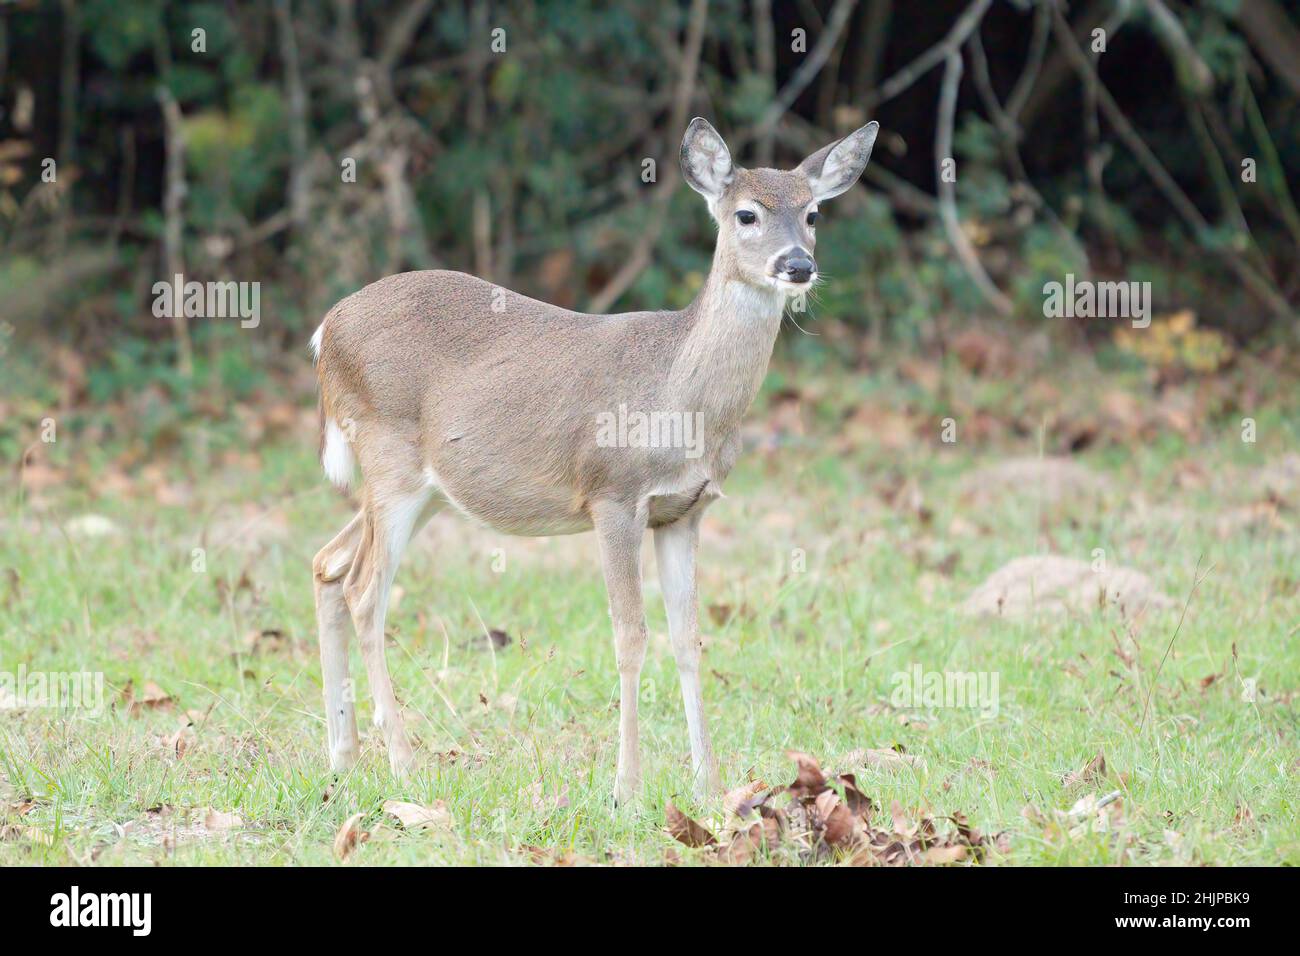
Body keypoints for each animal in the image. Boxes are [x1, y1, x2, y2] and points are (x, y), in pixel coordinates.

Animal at [313, 115, 878, 806]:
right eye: (746, 213)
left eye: (813, 213)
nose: (798, 264)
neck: (679, 394)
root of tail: (325, 331)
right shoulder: (613, 495)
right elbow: (630, 636)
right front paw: (626, 788)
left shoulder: (684, 510)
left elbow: (688, 638)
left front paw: (709, 787)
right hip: (388, 457)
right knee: (365, 591)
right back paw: (401, 764)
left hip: (426, 489)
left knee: (328, 564)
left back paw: (343, 759)